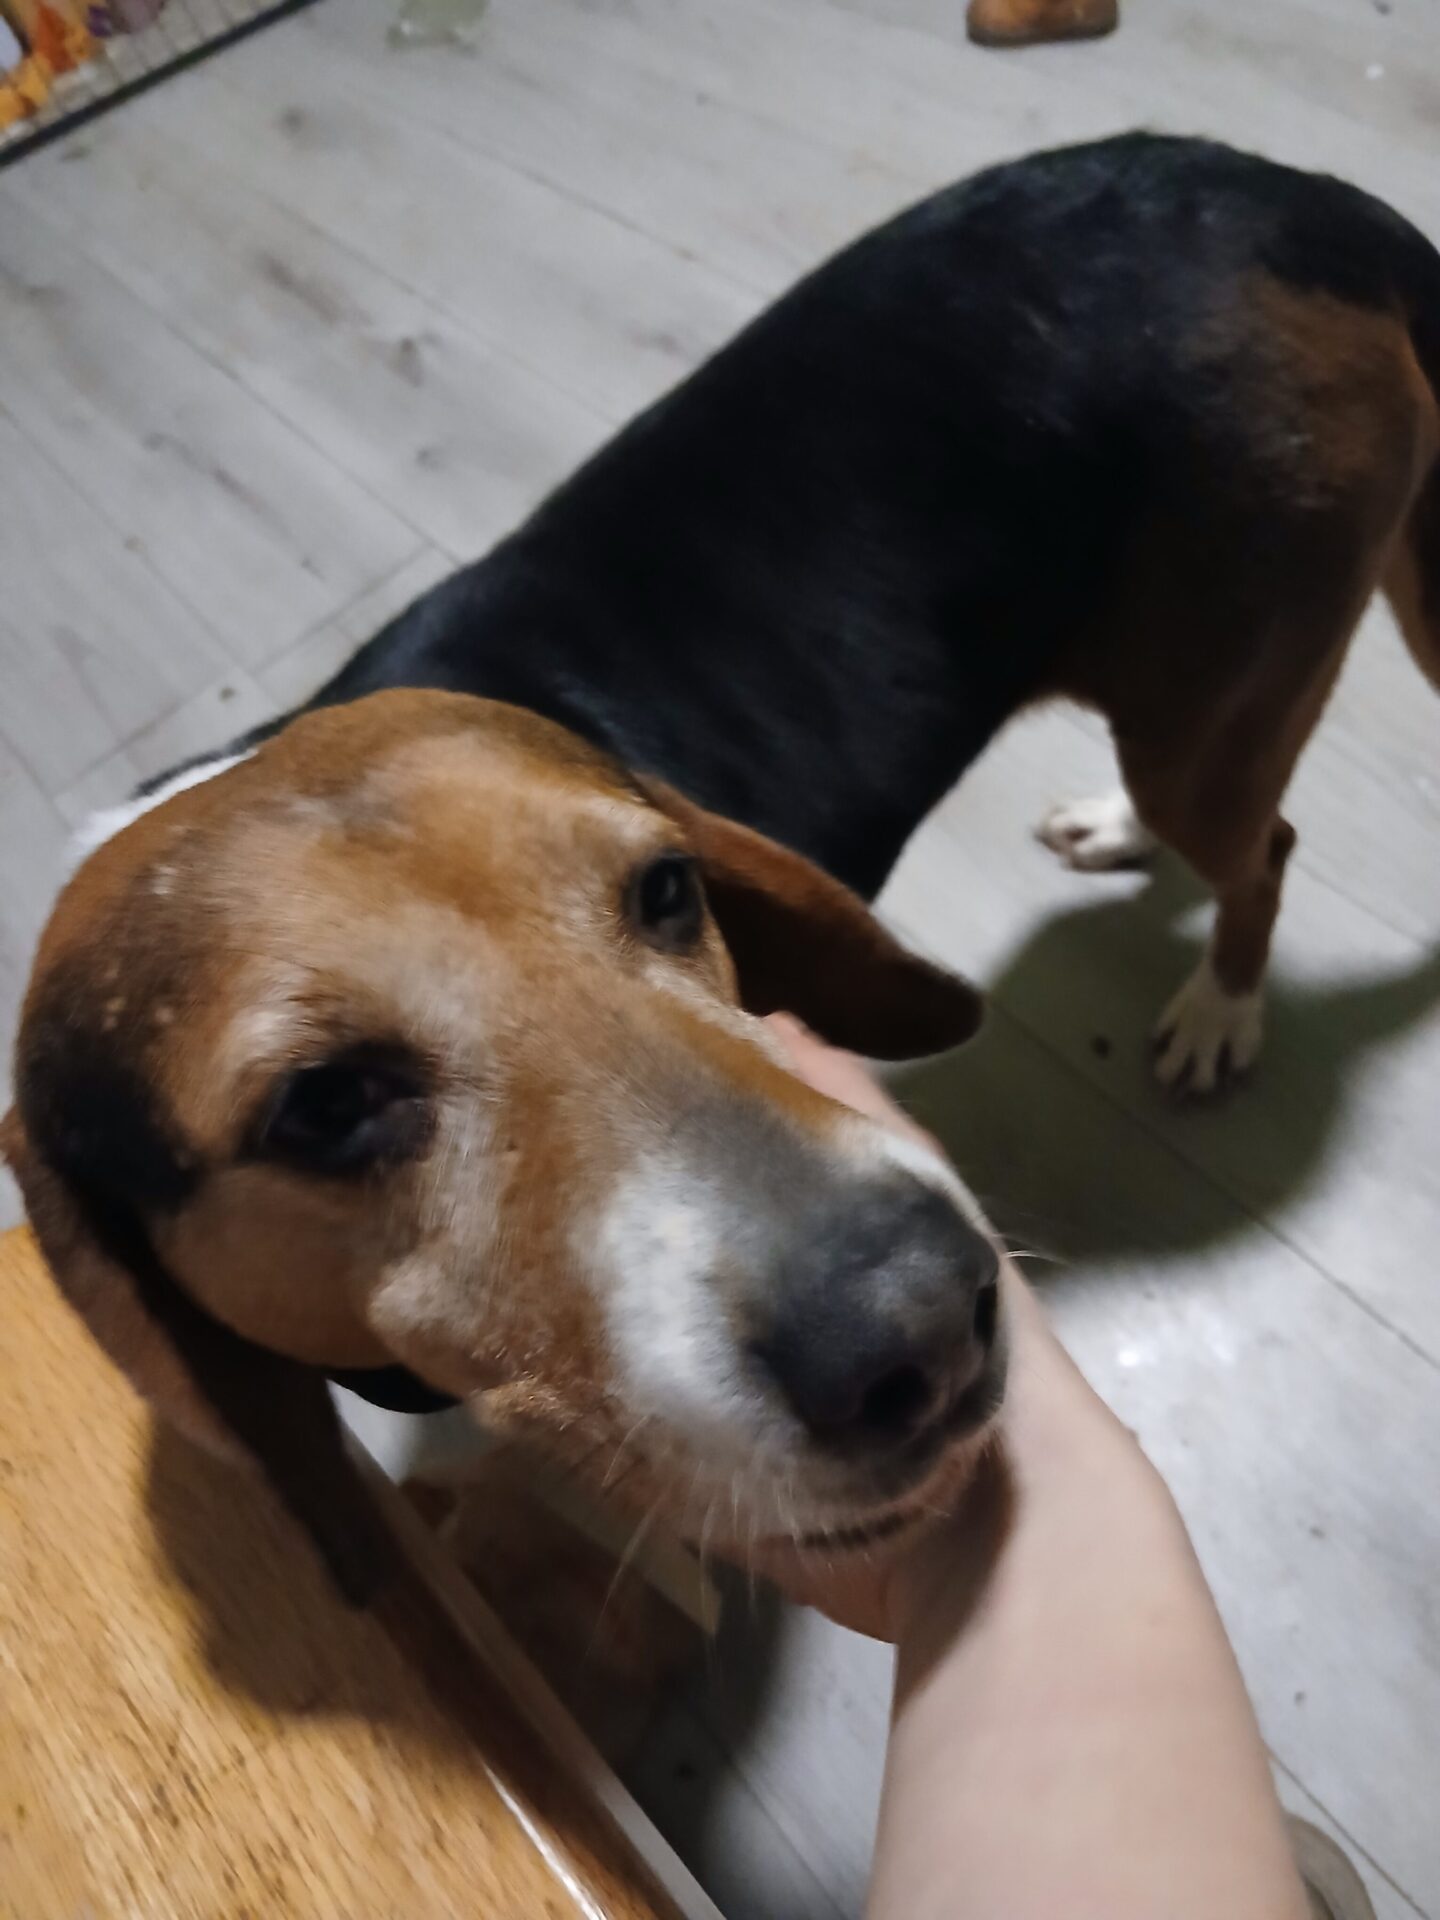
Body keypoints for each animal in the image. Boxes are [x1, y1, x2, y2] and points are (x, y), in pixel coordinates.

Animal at [6, 134, 1439, 1602]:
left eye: (666, 889)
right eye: (326, 1107)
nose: (925, 1317)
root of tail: (1294, 194)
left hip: (1227, 682)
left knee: (1265, 849)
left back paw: (1220, 1009)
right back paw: (1121, 833)